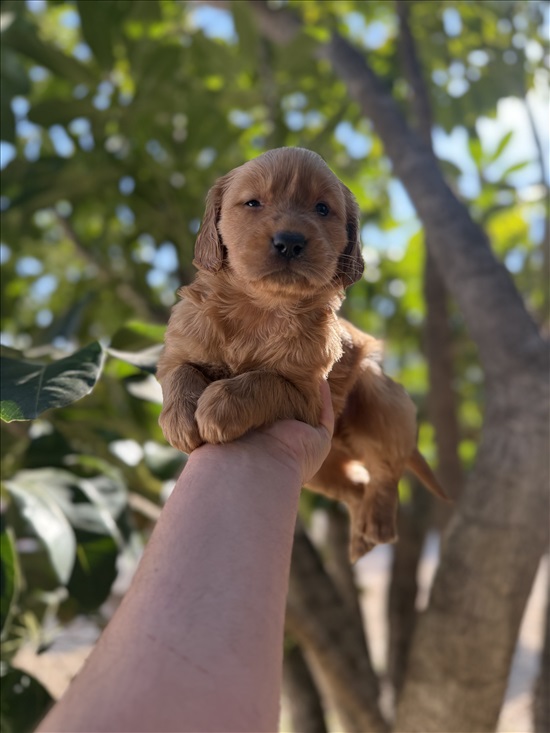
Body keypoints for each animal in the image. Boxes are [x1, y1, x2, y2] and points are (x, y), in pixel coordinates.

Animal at [156, 147, 448, 560]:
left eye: (322, 209)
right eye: (253, 203)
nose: (290, 242)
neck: (260, 308)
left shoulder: (307, 393)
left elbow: (263, 381)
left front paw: (219, 406)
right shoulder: (179, 345)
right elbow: (180, 372)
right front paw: (180, 418)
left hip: (378, 397)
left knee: (385, 474)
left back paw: (377, 524)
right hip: (321, 470)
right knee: (355, 487)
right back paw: (360, 538)